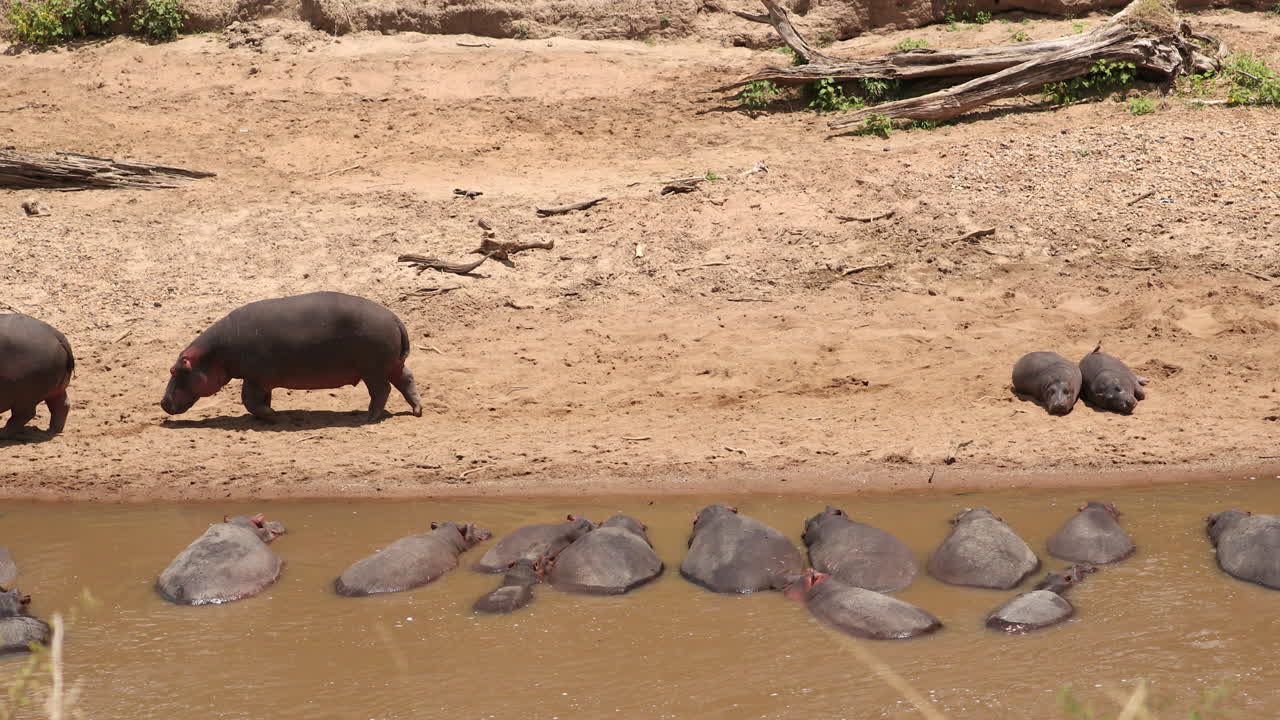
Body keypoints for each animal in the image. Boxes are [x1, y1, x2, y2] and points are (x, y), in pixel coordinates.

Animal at [160, 292, 422, 423]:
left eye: (175, 371)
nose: (162, 402)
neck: (215, 353)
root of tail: (394, 317)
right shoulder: (262, 380)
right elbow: (260, 400)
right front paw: (269, 415)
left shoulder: (256, 377)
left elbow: (249, 400)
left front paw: (274, 417)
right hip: (391, 364)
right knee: (406, 379)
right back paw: (417, 410)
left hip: (373, 370)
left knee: (382, 390)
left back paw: (369, 417)